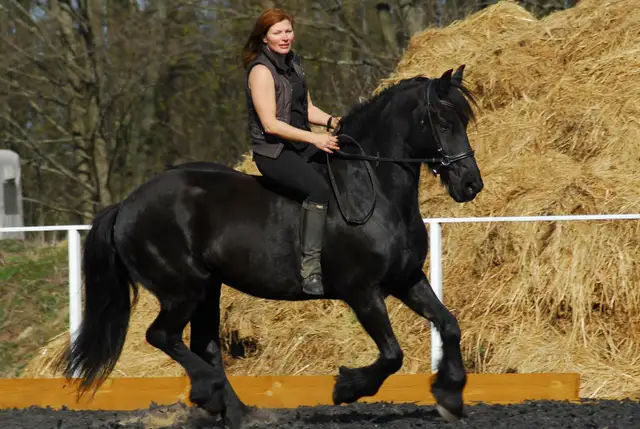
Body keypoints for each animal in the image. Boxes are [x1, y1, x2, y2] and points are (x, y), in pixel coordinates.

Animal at [55, 65, 484, 428]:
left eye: (464, 121)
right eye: (443, 122)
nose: (470, 185)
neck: (374, 188)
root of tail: (126, 205)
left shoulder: (406, 279)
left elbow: (449, 324)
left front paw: (450, 397)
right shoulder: (363, 292)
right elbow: (393, 354)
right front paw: (346, 388)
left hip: (207, 289)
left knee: (204, 345)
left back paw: (237, 412)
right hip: (182, 290)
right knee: (163, 336)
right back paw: (209, 393)